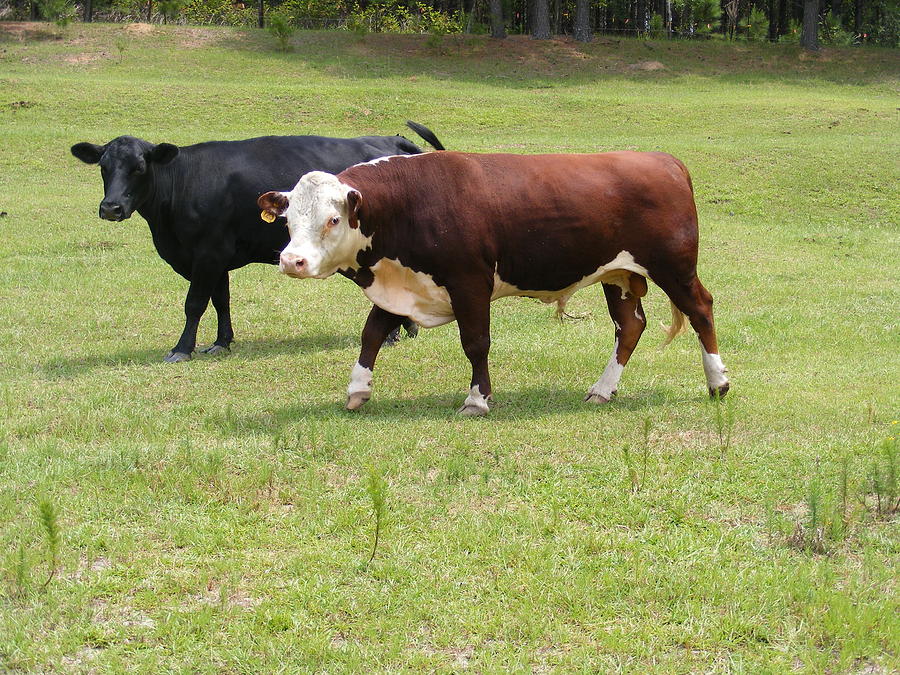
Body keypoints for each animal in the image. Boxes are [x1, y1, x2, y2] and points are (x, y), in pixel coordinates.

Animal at [70, 123, 442, 362]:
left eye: (139, 167)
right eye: (104, 167)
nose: (111, 207)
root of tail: (391, 140)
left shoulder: (206, 255)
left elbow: (195, 304)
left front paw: (181, 349)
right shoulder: (215, 258)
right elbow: (221, 300)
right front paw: (221, 342)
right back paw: (404, 329)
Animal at [260, 151, 732, 414]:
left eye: (333, 219)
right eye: (288, 219)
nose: (291, 260)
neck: (409, 202)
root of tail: (663, 159)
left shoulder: (469, 282)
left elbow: (475, 342)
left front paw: (477, 399)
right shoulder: (404, 285)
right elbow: (372, 333)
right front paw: (357, 390)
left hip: (674, 267)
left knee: (701, 310)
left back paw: (718, 382)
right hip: (619, 275)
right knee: (629, 327)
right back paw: (602, 390)